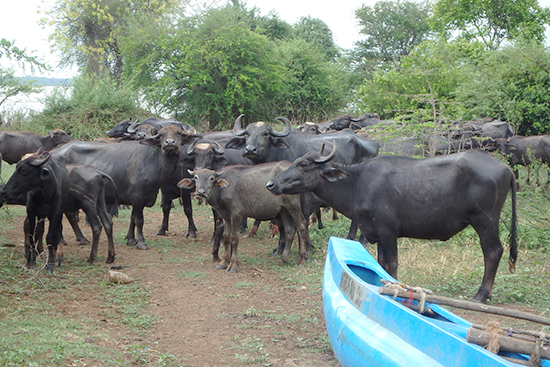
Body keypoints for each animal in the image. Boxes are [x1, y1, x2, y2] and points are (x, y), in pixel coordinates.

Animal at [51, 126, 201, 250]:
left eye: (178, 133)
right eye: (161, 135)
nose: (170, 143)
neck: (153, 162)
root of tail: (54, 153)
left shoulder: (138, 199)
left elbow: (132, 218)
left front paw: (130, 239)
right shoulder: (138, 196)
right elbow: (139, 220)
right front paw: (141, 241)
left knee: (69, 214)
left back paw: (80, 239)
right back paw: (64, 239)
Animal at [180, 162, 310, 272]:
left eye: (211, 178)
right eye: (196, 178)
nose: (200, 192)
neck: (222, 190)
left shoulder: (236, 215)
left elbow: (234, 238)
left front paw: (233, 264)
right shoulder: (226, 216)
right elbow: (226, 236)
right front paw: (224, 262)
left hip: (293, 206)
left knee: (301, 226)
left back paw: (302, 259)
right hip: (284, 210)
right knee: (290, 230)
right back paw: (283, 259)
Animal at [270, 147, 520, 304]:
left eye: (303, 164)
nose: (271, 184)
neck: (356, 183)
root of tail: (505, 168)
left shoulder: (388, 232)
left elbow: (391, 264)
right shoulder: (378, 235)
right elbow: (380, 264)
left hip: (485, 221)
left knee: (493, 251)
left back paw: (481, 294)